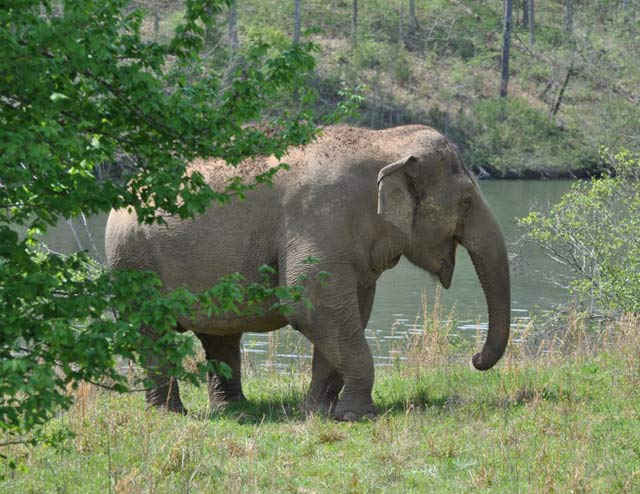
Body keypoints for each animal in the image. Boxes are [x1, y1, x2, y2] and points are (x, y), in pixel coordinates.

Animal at [106, 123, 516, 420]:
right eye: (466, 201)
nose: (475, 359)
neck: (381, 139)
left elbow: (349, 315)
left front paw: (317, 411)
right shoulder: (318, 220)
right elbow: (311, 305)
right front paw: (357, 415)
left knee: (220, 336)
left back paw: (235, 409)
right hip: (133, 263)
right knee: (153, 332)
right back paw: (170, 413)